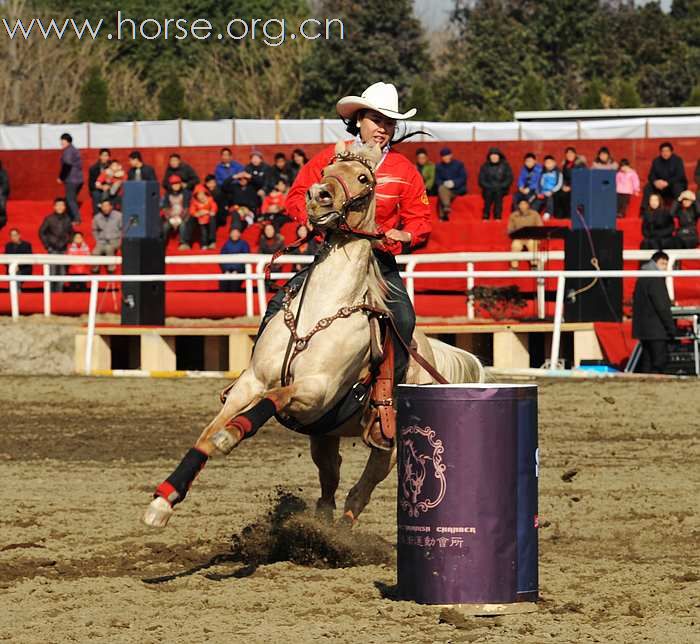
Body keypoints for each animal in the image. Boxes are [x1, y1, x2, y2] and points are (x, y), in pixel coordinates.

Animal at [142, 140, 482, 528]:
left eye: (364, 178)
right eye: (324, 172)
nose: (319, 196)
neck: (320, 312)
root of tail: (430, 354)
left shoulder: (317, 391)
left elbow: (271, 400)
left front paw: (231, 435)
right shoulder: (251, 382)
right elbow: (205, 437)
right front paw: (163, 501)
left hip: (388, 444)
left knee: (361, 489)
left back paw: (342, 533)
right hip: (325, 436)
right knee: (329, 483)